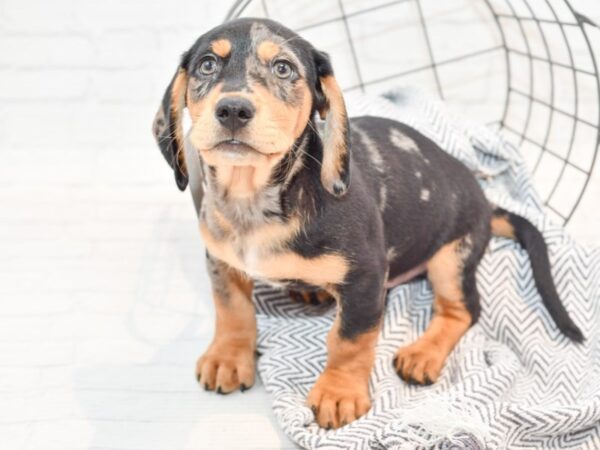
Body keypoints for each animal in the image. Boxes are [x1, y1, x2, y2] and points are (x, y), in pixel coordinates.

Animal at [152, 18, 584, 428]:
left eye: (283, 68)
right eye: (207, 64)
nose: (233, 110)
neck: (256, 198)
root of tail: (486, 200)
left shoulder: (366, 279)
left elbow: (350, 340)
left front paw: (339, 392)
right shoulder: (221, 262)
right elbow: (232, 311)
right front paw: (229, 357)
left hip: (451, 258)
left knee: (463, 311)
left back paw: (423, 354)